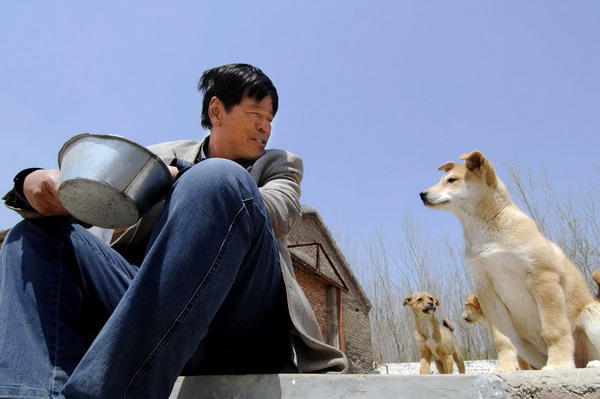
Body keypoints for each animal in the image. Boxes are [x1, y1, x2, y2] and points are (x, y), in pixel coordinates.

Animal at [420, 150, 600, 372]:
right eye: (441, 180)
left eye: (451, 180)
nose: (422, 194)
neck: (486, 231)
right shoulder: (487, 289)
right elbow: (502, 340)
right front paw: (504, 368)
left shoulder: (543, 278)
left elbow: (554, 329)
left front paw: (558, 364)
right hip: (524, 345)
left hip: (591, 314)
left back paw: (591, 364)